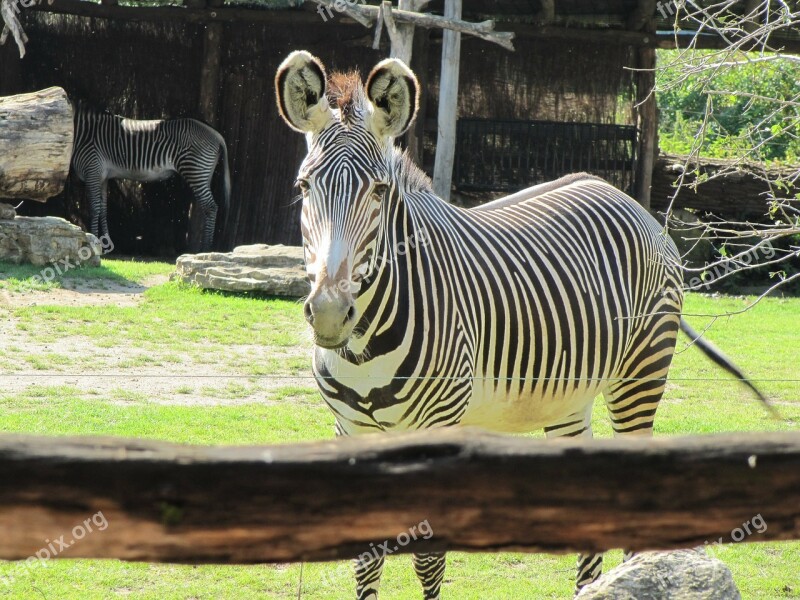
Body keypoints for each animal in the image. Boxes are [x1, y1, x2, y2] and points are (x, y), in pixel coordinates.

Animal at [70, 102, 230, 251]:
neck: (84, 134)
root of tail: (215, 133)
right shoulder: (102, 177)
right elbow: (103, 210)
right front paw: (106, 245)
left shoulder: (92, 172)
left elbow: (94, 208)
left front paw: (94, 242)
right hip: (204, 173)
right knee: (207, 208)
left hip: (195, 171)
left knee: (211, 207)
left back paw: (205, 248)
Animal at [274, 51, 768, 600]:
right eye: (302, 187)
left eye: (379, 191)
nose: (330, 312)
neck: (362, 348)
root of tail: (620, 195)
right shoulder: (350, 429)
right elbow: (365, 561)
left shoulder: (439, 426)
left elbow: (428, 560)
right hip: (570, 397)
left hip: (641, 373)